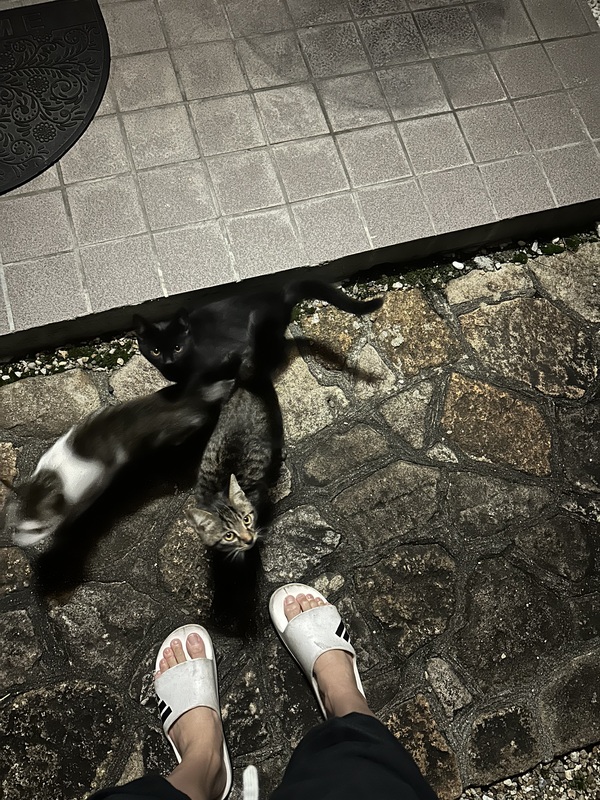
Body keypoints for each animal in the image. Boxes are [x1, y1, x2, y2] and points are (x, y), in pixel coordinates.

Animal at [6, 379, 233, 548]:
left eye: (38, 529)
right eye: (16, 526)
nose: (17, 543)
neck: (51, 478)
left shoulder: (93, 486)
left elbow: (77, 510)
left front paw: (67, 525)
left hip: (181, 428)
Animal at [133, 279, 383, 385]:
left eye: (177, 347)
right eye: (155, 351)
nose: (168, 361)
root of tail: (281, 297)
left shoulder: (235, 349)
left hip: (260, 327)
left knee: (276, 350)